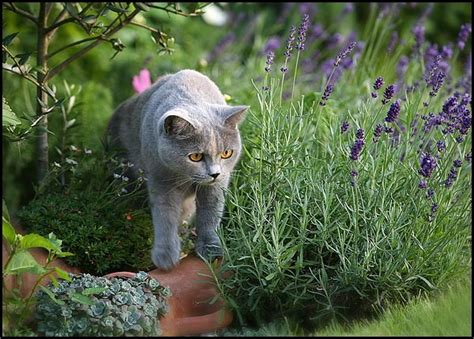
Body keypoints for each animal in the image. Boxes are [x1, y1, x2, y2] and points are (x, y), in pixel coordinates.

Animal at [107, 70, 248, 272]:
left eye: (226, 153)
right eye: (195, 156)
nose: (214, 173)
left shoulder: (217, 185)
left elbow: (210, 213)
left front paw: (211, 249)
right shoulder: (161, 179)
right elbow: (165, 215)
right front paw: (165, 256)